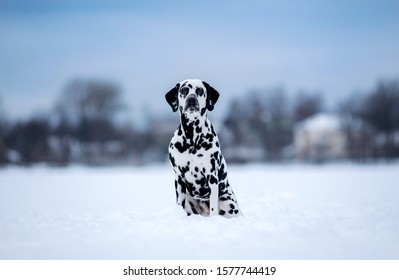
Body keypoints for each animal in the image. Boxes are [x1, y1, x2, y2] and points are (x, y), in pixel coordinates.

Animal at [165, 79, 241, 219]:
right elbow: (179, 203)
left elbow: (213, 208)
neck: (192, 137)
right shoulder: (178, 177)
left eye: (200, 90)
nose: (191, 99)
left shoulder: (212, 176)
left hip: (228, 202)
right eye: (184, 90)